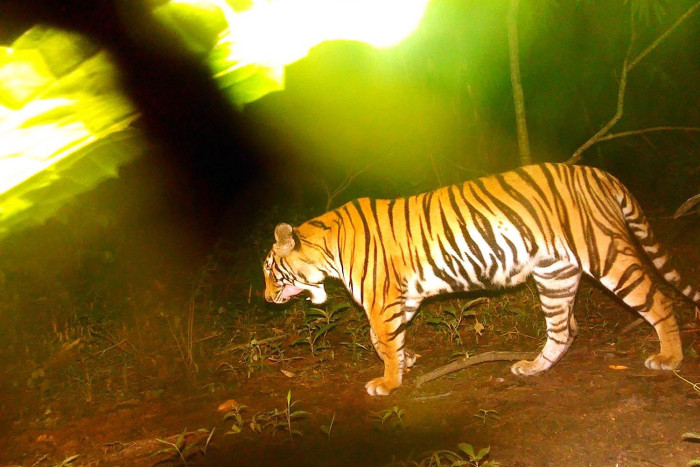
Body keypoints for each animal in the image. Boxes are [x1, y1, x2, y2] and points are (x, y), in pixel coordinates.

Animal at [263, 163, 700, 396]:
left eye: (268, 271)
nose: (266, 299)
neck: (326, 251)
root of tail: (597, 172)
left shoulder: (382, 299)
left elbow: (381, 339)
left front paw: (387, 382)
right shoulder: (403, 298)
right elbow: (382, 339)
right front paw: (407, 359)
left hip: (605, 253)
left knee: (659, 301)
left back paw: (669, 358)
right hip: (555, 275)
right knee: (563, 329)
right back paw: (533, 368)